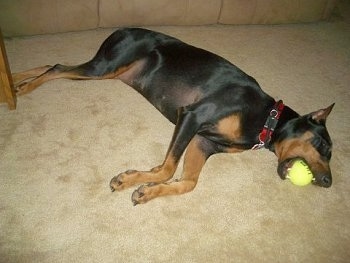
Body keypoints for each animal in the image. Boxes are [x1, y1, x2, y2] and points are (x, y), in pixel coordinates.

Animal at [13, 27, 334, 205]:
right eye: (323, 146)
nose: (328, 182)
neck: (267, 118)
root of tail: (122, 29)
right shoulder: (192, 116)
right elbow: (168, 168)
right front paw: (131, 180)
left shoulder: (204, 142)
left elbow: (188, 182)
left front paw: (146, 190)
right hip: (105, 66)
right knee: (56, 68)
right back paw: (24, 88)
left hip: (105, 70)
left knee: (51, 65)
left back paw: (15, 81)